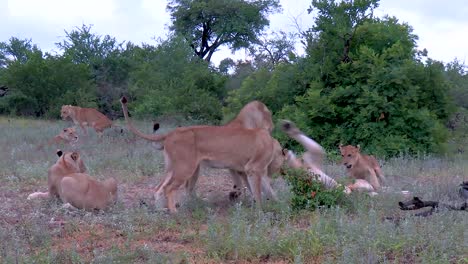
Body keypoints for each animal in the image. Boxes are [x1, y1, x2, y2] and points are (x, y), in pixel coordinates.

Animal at [121, 97, 282, 212]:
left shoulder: (249, 170)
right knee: (170, 188)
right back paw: (175, 213)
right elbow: (256, 190)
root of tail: (171, 133)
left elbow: (267, 189)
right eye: (269, 115)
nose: (273, 125)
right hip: (186, 168)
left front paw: (278, 204)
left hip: (174, 168)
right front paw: (260, 210)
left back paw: (161, 210)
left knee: (159, 188)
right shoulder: (250, 168)